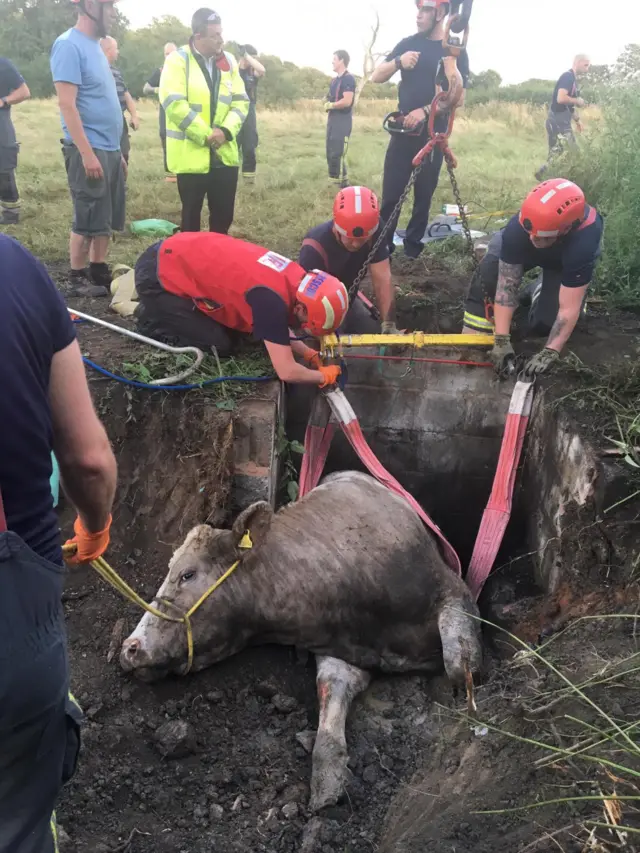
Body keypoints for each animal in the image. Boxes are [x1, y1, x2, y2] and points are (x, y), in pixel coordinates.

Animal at [120, 472, 482, 812]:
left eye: (188, 574)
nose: (130, 648)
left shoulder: (455, 591)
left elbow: (459, 662)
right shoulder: (340, 654)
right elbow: (330, 710)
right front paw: (328, 780)